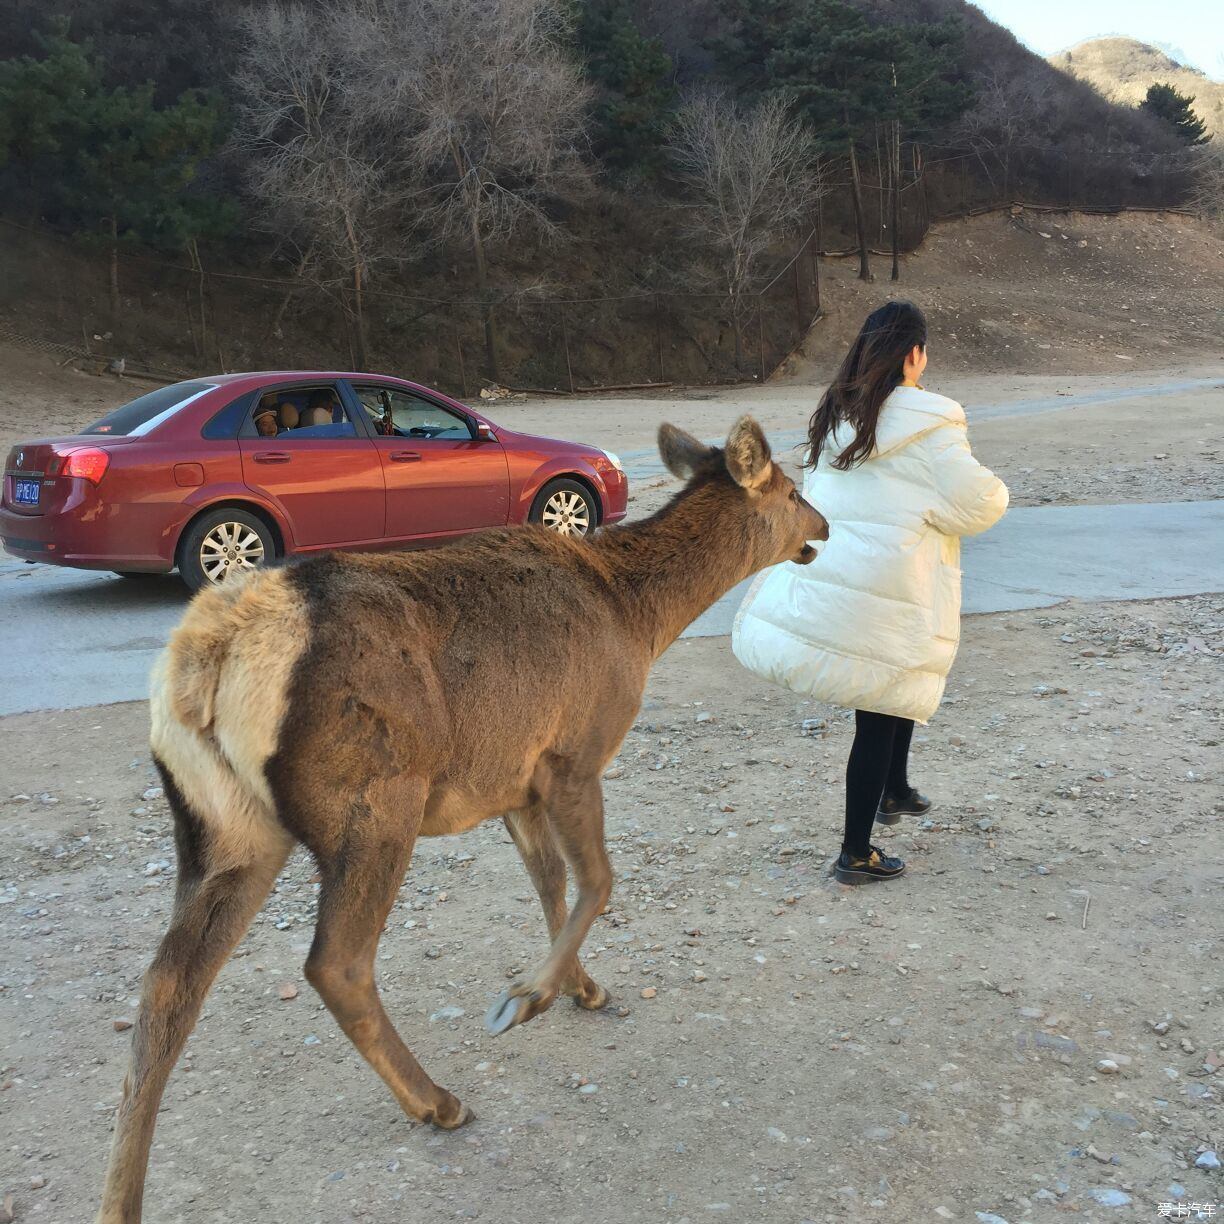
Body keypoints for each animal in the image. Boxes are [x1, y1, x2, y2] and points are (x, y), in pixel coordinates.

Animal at [95, 416, 822, 1219]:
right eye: (793, 490)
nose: (823, 526)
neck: (639, 618)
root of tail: (204, 661)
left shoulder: (515, 783)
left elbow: (551, 885)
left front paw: (581, 985)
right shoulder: (575, 751)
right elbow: (599, 880)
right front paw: (529, 996)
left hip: (225, 829)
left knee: (167, 986)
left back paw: (119, 1197)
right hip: (375, 798)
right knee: (335, 963)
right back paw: (436, 1101)